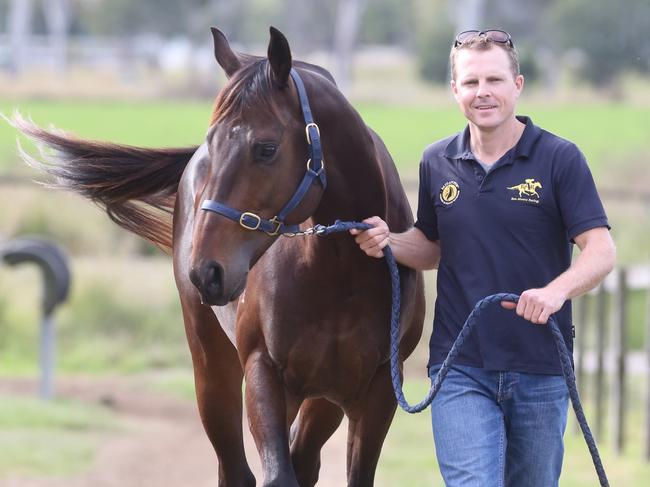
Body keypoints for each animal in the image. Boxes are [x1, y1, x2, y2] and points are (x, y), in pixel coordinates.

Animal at [13, 27, 426, 487]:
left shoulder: (375, 391)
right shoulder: (264, 374)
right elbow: (276, 473)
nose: (207, 271)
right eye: (212, 144)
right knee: (235, 467)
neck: (339, 273)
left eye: (266, 148)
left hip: (323, 399)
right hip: (212, 368)